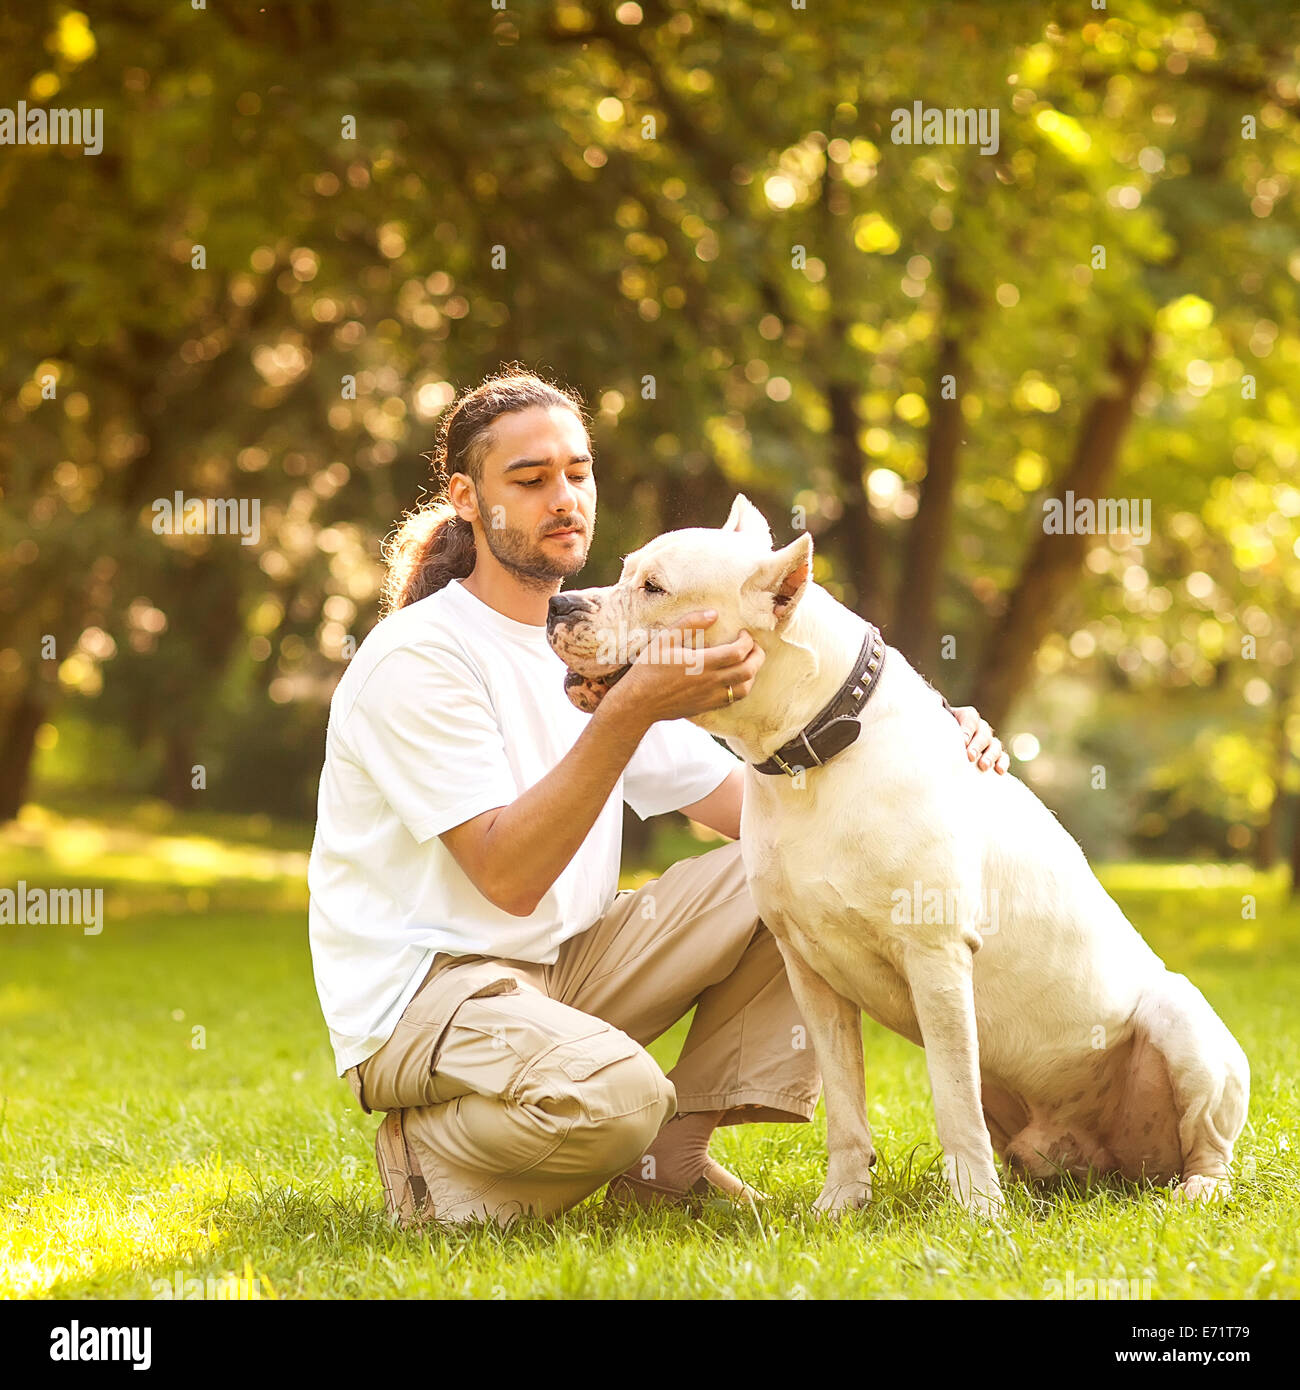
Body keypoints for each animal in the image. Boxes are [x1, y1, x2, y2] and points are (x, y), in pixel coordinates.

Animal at [547, 494, 1251, 1212]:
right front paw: (841, 1202)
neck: (814, 748)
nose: (560, 604)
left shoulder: (935, 957)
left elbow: (953, 1097)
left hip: (1184, 1021)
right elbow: (845, 1103)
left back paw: (1195, 1189)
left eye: (654, 588)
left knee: (1210, 1147)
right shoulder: (810, 973)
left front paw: (976, 1211)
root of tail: (1119, 1167)